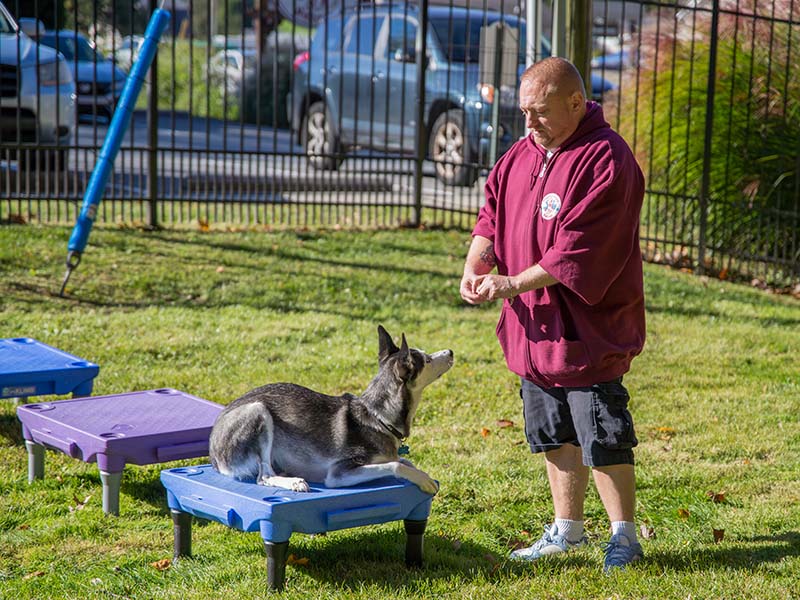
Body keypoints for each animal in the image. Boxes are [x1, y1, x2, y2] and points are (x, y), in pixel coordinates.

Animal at [209, 326, 454, 494]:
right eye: (427, 360)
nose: (450, 351)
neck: (378, 417)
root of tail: (213, 455)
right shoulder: (339, 473)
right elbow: (395, 464)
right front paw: (422, 479)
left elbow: (404, 461)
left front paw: (420, 472)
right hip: (257, 411)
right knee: (264, 476)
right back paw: (294, 481)